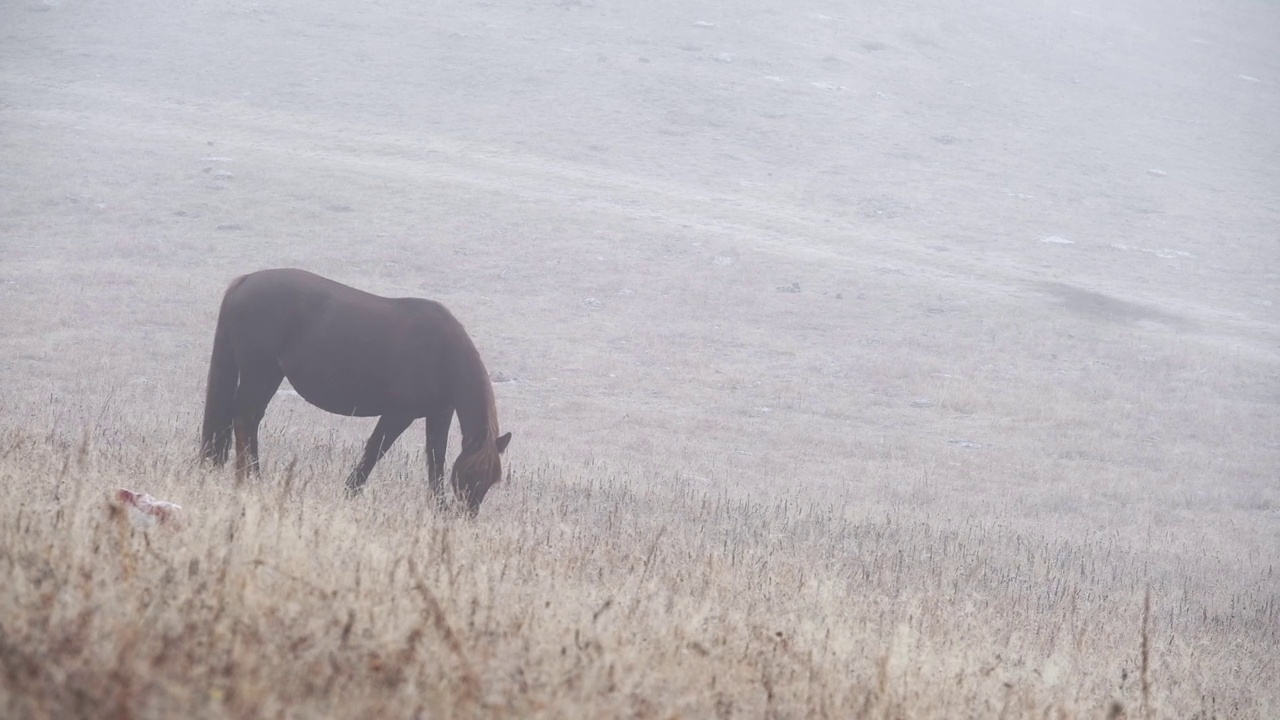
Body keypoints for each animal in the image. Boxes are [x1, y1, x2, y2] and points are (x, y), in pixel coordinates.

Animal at [199, 266, 509, 512]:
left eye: (490, 480)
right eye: (468, 476)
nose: (466, 516)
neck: (442, 353)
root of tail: (246, 281)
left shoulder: (438, 415)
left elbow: (436, 459)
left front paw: (438, 506)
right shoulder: (398, 413)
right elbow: (375, 450)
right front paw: (350, 492)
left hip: (268, 375)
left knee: (251, 420)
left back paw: (255, 476)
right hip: (259, 373)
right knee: (244, 418)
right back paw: (246, 478)